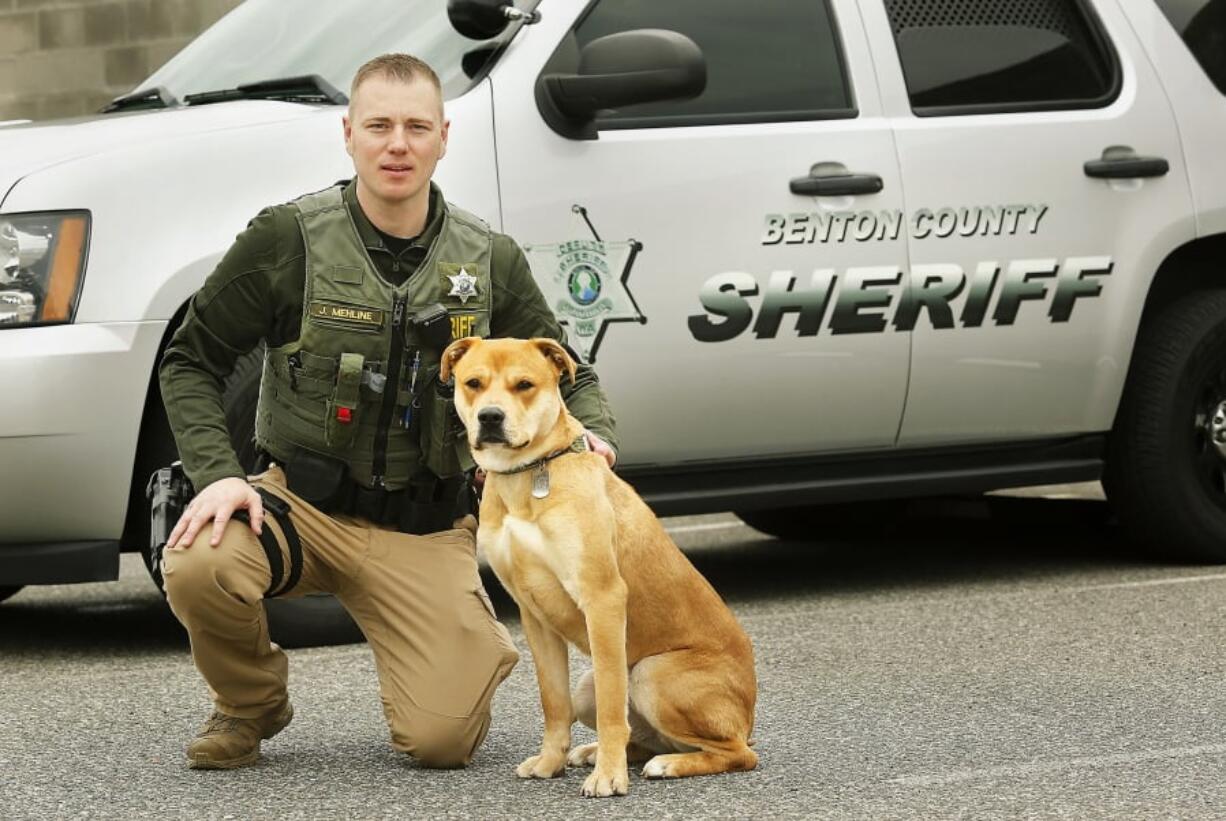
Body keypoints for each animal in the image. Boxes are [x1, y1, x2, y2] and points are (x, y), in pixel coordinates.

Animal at [441, 333, 755, 798]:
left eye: (524, 385)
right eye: (473, 383)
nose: (490, 417)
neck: (530, 472)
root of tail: (749, 714)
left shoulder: (602, 597)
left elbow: (611, 707)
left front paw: (608, 776)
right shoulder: (534, 614)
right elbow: (553, 702)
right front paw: (550, 762)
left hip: (650, 672)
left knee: (735, 753)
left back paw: (666, 764)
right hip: (587, 685)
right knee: (643, 736)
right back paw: (598, 753)